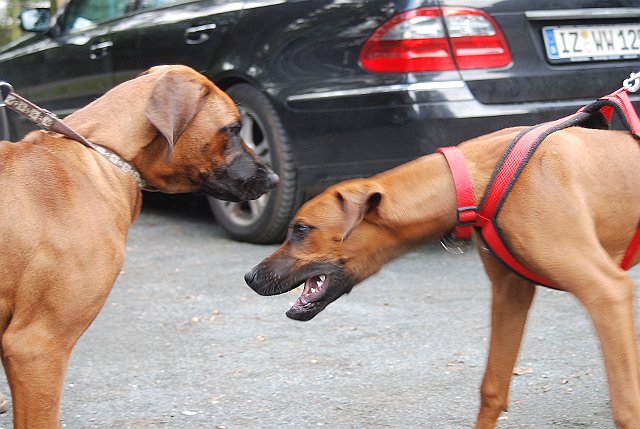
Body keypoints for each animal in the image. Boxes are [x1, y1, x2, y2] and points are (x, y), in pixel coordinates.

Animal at [245, 124, 640, 428]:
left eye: (301, 229)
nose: (249, 277)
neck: (476, 179)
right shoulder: (510, 293)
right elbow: (492, 389)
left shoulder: (606, 291)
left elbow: (626, 407)